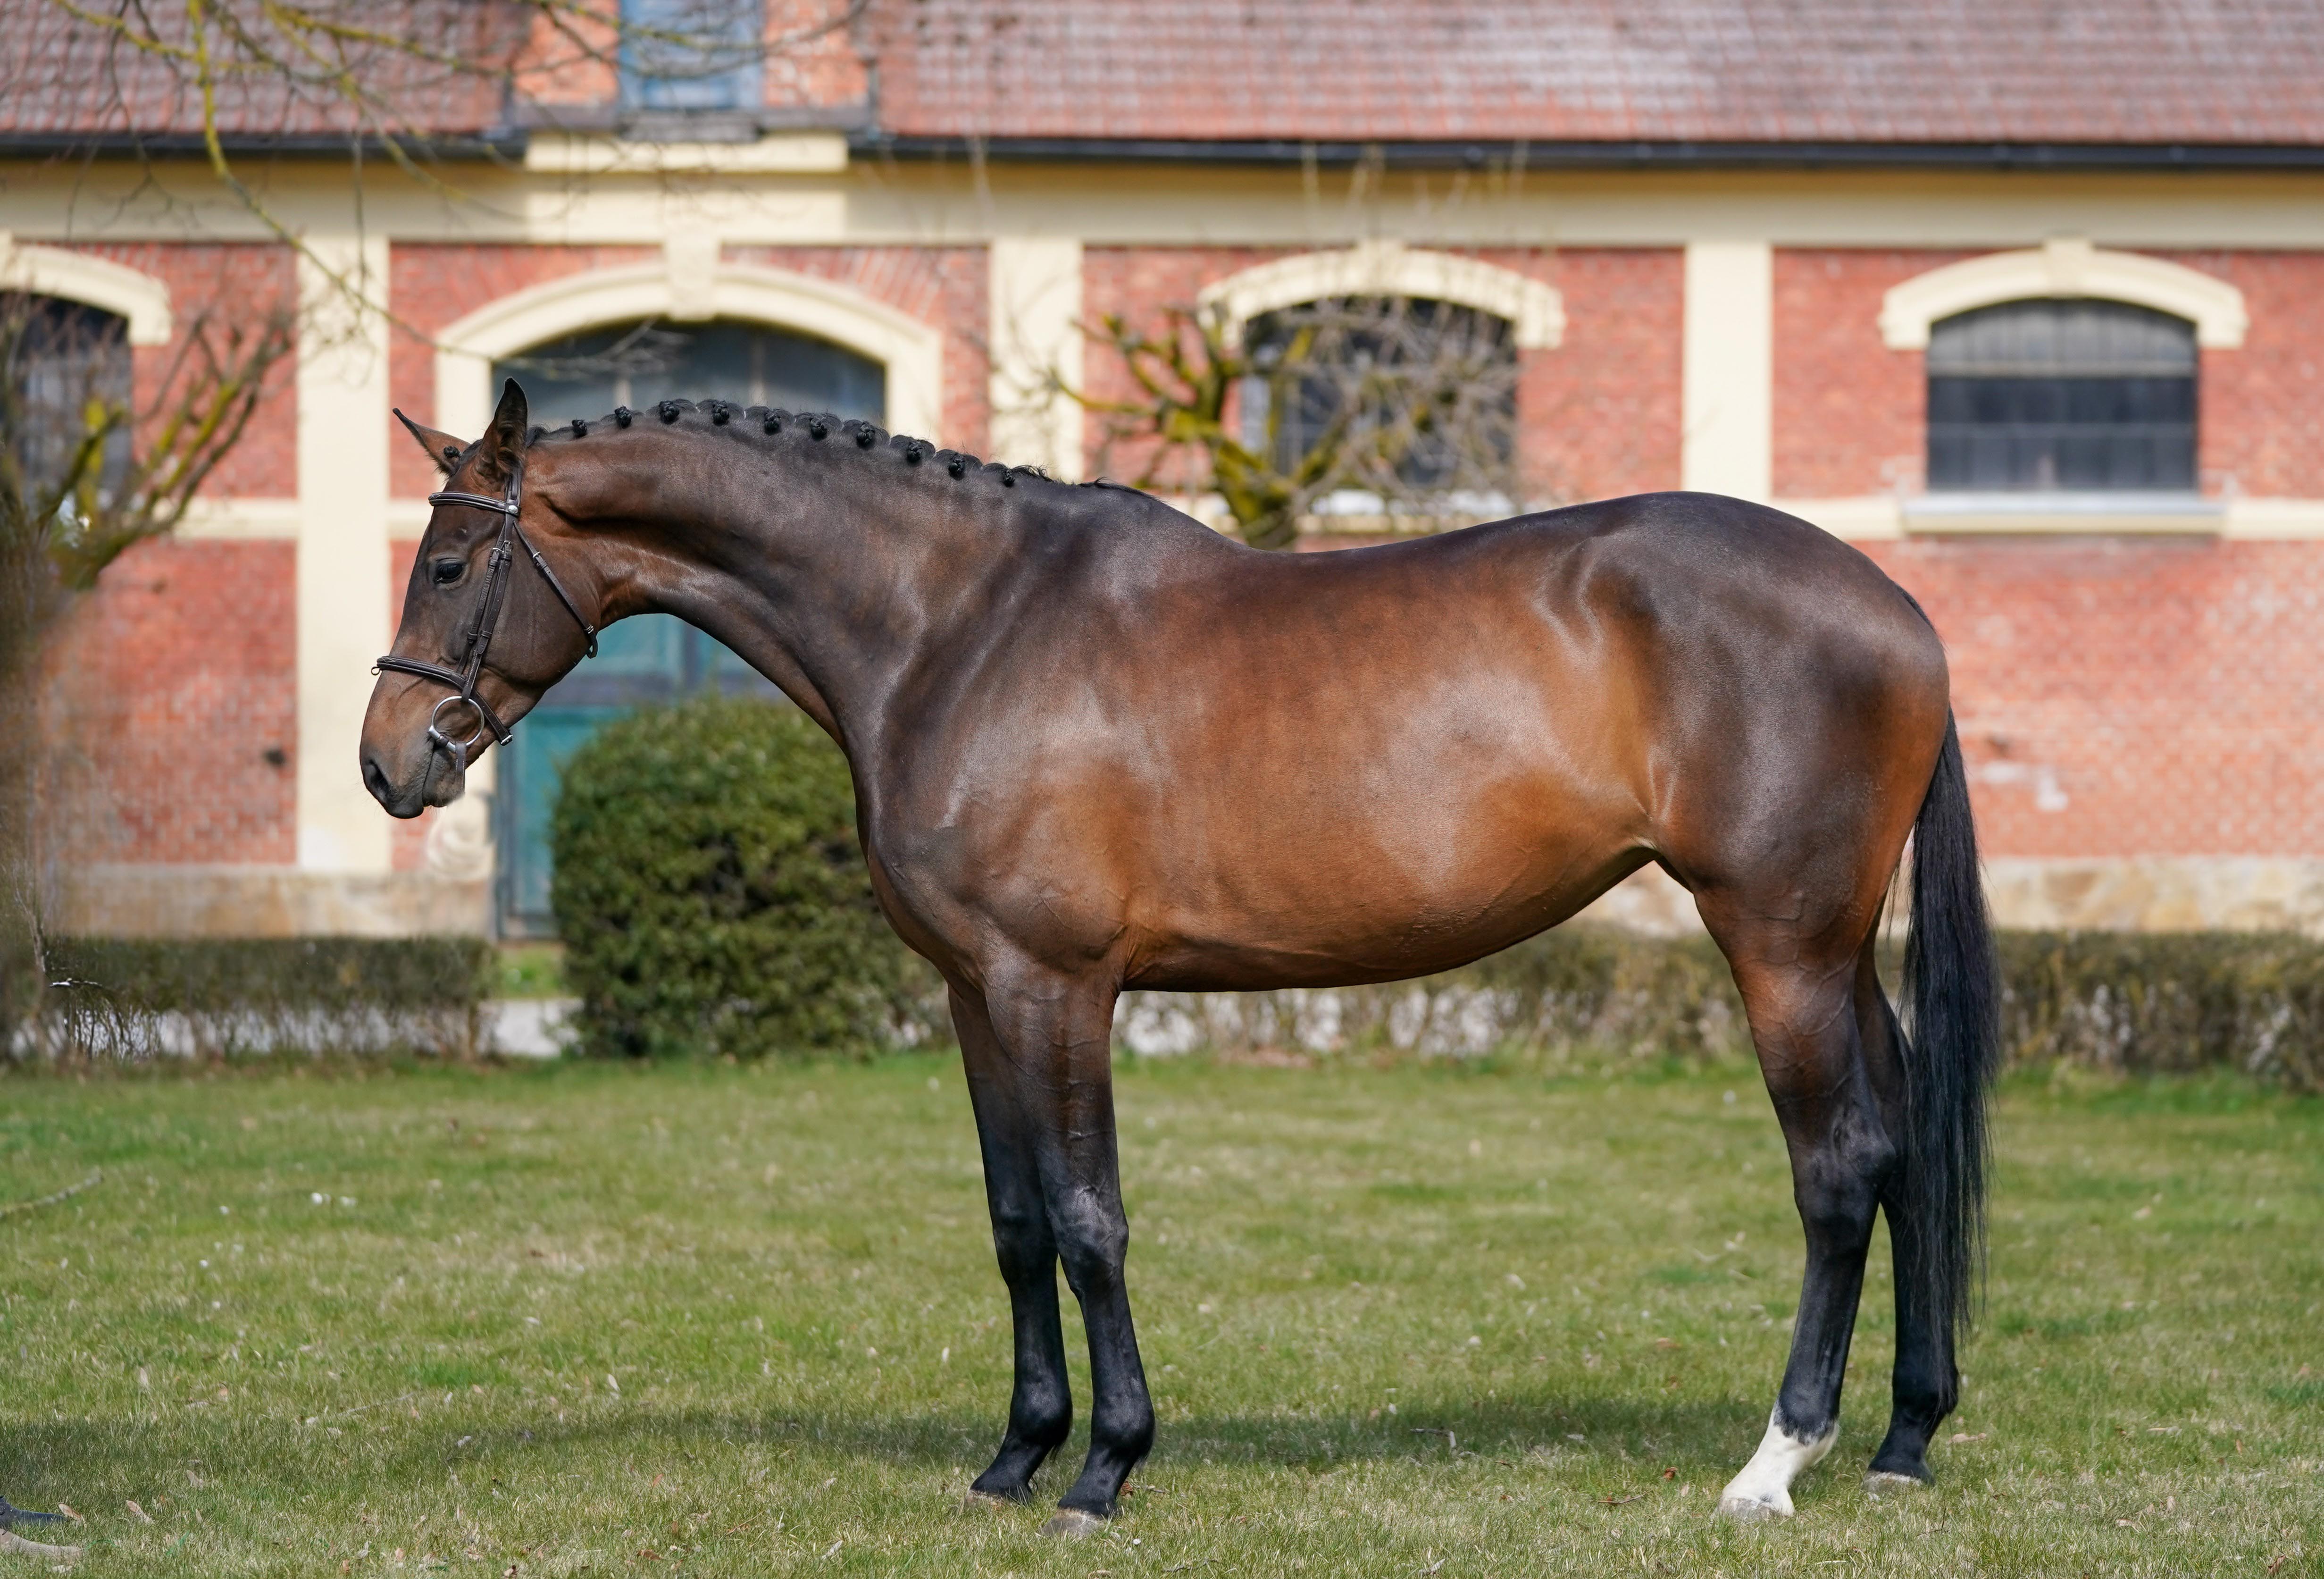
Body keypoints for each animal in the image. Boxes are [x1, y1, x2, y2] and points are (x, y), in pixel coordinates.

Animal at [362, 379, 1998, 1535]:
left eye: (448, 562)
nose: (390, 764)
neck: (955, 625)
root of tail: (1902, 608)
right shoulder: (975, 993)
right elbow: (1014, 1222)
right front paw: (1012, 1458)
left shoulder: (1057, 985)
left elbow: (1089, 1219)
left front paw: (1104, 1468)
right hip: (1835, 951)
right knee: (1906, 1146)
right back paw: (1904, 1440)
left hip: (1776, 943)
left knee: (1836, 1171)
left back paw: (1774, 1464)